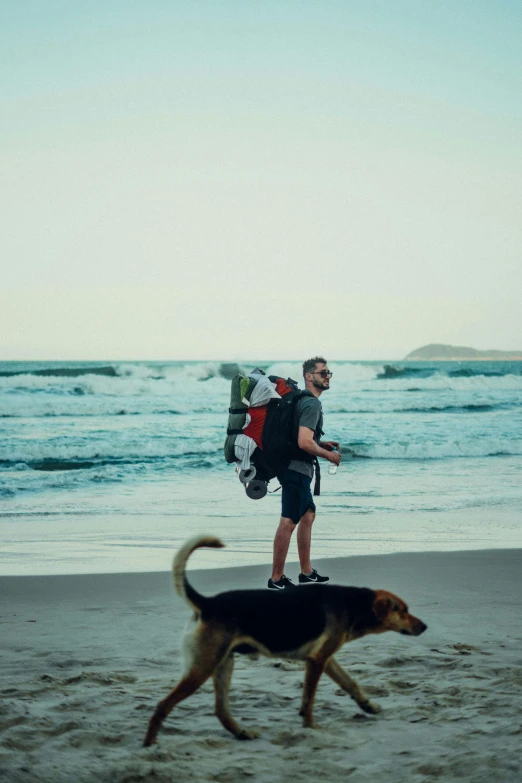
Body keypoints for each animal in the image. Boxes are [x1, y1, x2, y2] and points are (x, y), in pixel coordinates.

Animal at [141, 536, 422, 744]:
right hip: (203, 666)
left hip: (223, 663)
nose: (425, 626)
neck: (353, 605)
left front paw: (368, 706)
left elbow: (350, 683)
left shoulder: (324, 658)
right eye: (403, 610)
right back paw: (150, 746)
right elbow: (309, 700)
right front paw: (310, 729)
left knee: (220, 710)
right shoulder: (317, 661)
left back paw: (241, 732)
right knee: (162, 706)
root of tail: (207, 603)